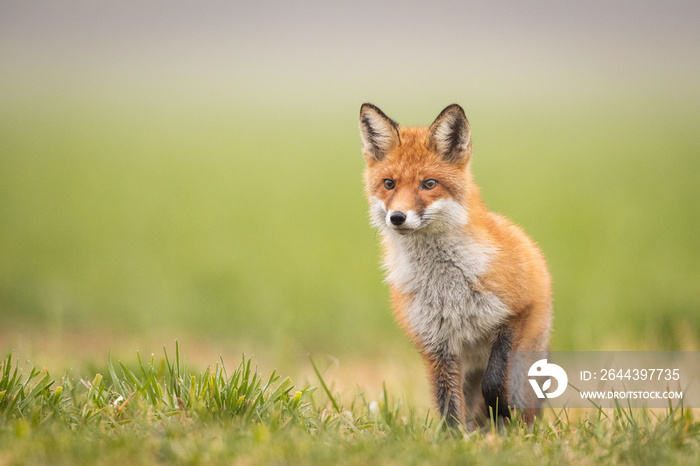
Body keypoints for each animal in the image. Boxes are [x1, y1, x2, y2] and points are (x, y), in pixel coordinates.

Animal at [360, 103, 552, 430]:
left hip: (525, 362)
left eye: (429, 184)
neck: (446, 286)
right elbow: (447, 403)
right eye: (389, 184)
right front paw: (454, 438)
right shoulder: (435, 344)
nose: (397, 217)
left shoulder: (515, 312)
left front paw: (501, 413)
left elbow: (494, 381)